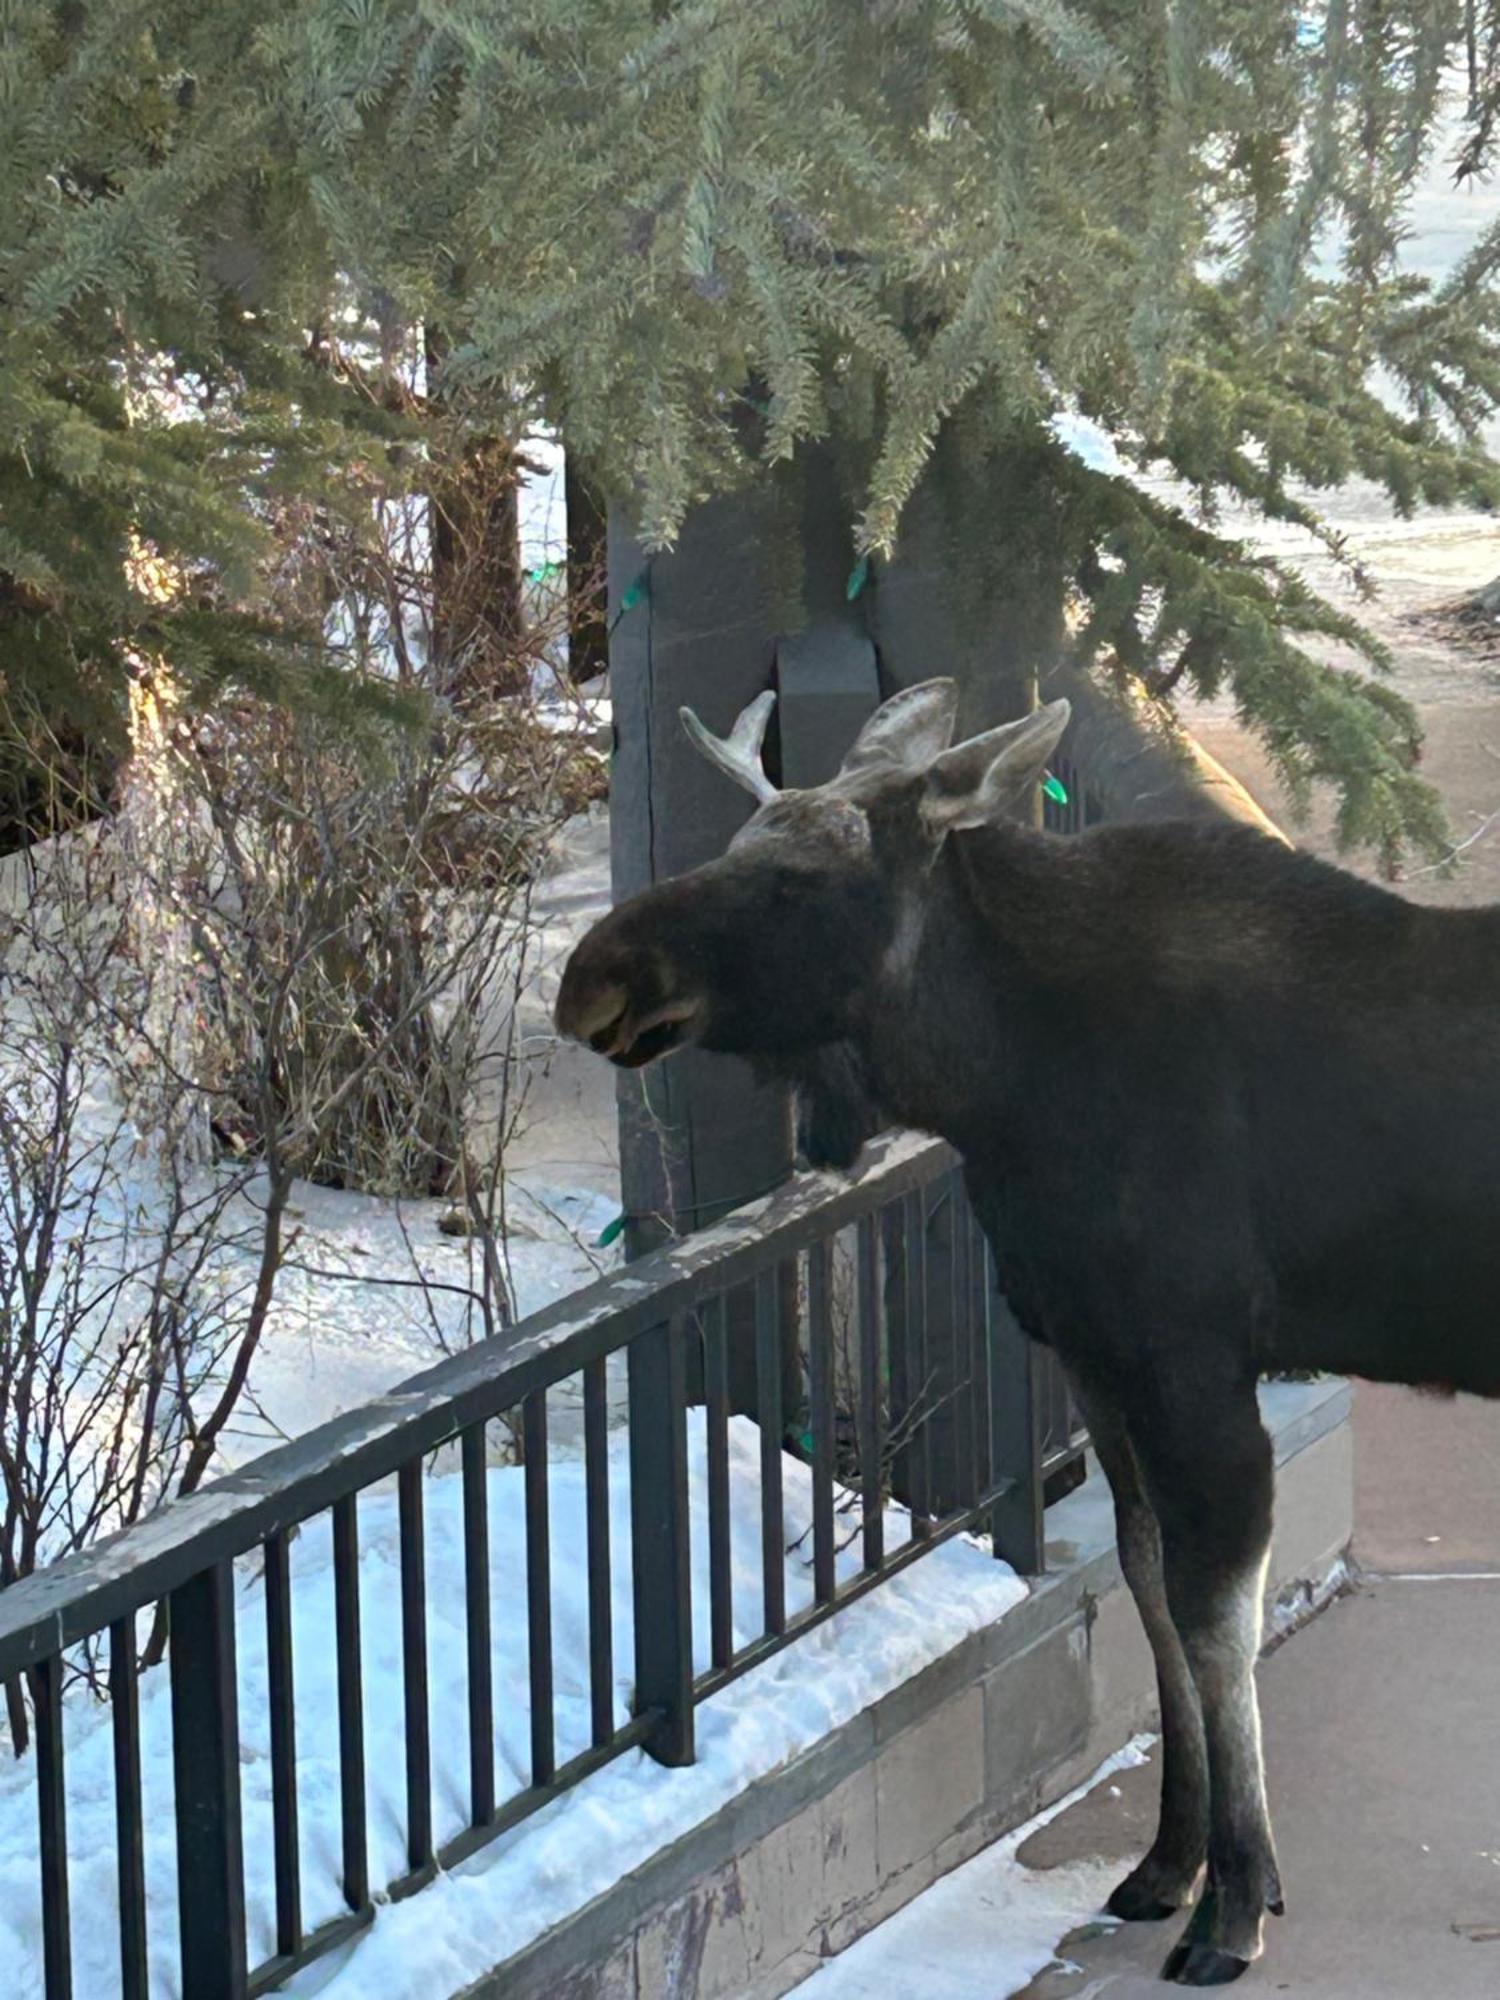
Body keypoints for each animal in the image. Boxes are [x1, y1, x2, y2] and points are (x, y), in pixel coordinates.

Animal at [556, 684, 1500, 1984]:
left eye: (798, 880)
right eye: (738, 849)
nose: (592, 978)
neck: (1001, 1083)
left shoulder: (1193, 1360)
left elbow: (1215, 1613)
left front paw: (1237, 1900)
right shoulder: (1097, 1355)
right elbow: (1147, 1580)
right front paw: (1170, 1861)